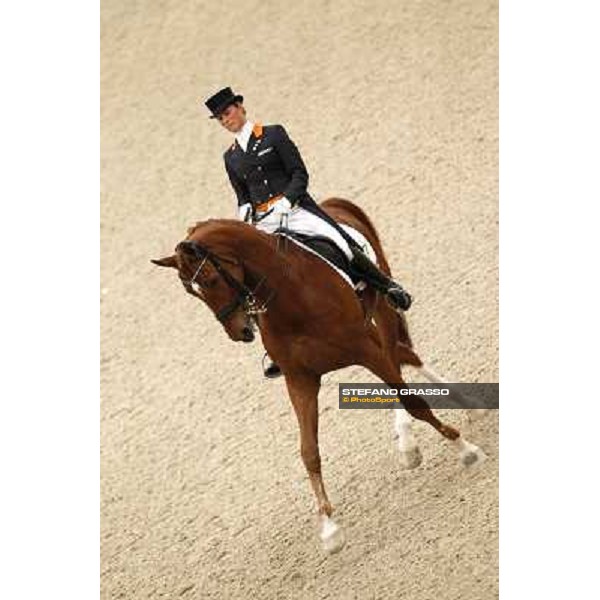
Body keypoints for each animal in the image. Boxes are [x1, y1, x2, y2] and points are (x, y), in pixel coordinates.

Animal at [152, 198, 486, 552]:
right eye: (192, 293)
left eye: (211, 280)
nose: (240, 332)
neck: (289, 295)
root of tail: (333, 204)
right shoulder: (300, 380)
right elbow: (308, 452)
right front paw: (329, 530)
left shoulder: (365, 348)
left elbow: (415, 403)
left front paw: (466, 449)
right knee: (401, 358)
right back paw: (418, 437)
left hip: (381, 311)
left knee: (400, 359)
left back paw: (436, 424)